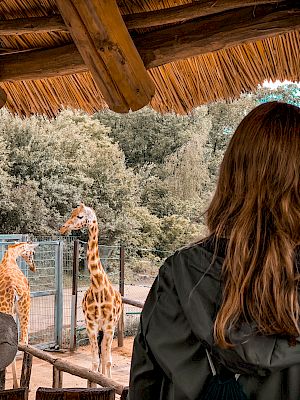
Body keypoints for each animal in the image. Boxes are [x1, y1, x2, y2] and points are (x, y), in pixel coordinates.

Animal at [59, 203, 122, 378]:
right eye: (71, 213)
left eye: (80, 216)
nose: (62, 228)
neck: (98, 285)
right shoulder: (91, 325)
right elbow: (95, 362)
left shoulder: (109, 325)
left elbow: (107, 360)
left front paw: (108, 381)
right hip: (99, 329)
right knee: (101, 356)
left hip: (111, 327)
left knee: (106, 357)